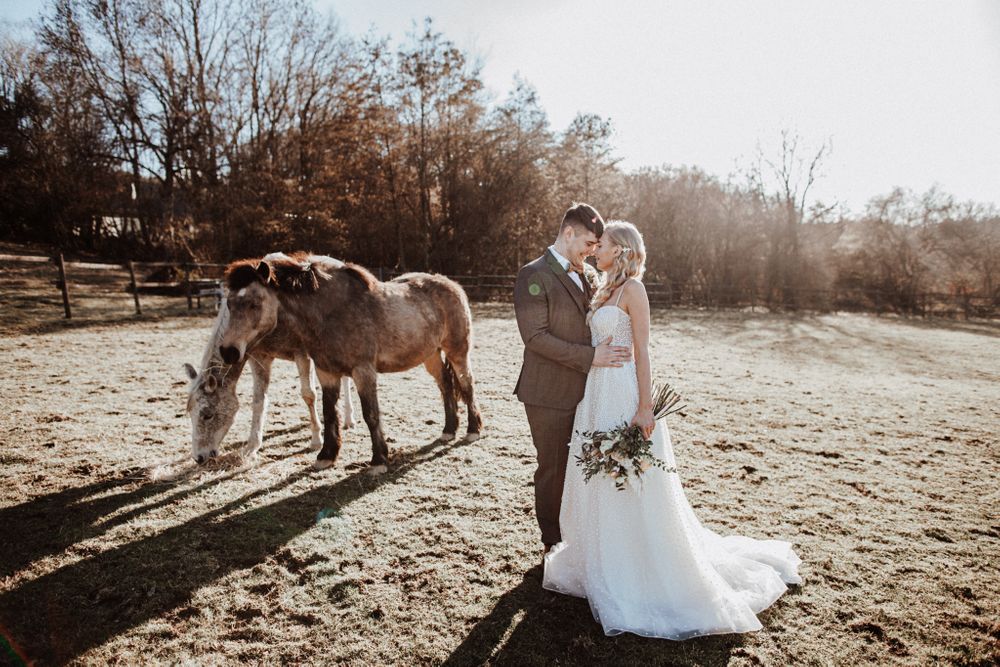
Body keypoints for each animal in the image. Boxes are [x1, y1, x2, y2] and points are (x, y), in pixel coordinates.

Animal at [184, 272, 356, 464]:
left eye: (208, 414)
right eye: (189, 412)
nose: (199, 457)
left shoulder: (302, 353)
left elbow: (308, 394)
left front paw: (316, 440)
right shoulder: (259, 358)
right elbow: (259, 400)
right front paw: (252, 447)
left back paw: (349, 419)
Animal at [218, 253, 484, 472]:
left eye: (254, 304)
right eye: (229, 304)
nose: (228, 351)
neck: (330, 313)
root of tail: (453, 285)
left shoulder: (363, 371)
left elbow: (371, 414)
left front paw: (379, 460)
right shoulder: (326, 372)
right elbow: (329, 413)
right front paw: (326, 455)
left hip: (457, 352)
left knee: (466, 383)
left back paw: (473, 430)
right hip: (431, 355)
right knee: (446, 385)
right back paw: (448, 430)